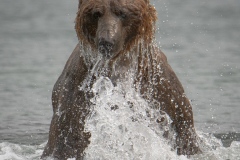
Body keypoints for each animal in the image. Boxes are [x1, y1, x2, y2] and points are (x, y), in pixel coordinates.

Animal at [42, 0, 202, 158]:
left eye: (122, 13)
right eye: (96, 14)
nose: (106, 42)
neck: (118, 67)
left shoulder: (160, 90)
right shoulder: (79, 90)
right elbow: (70, 137)